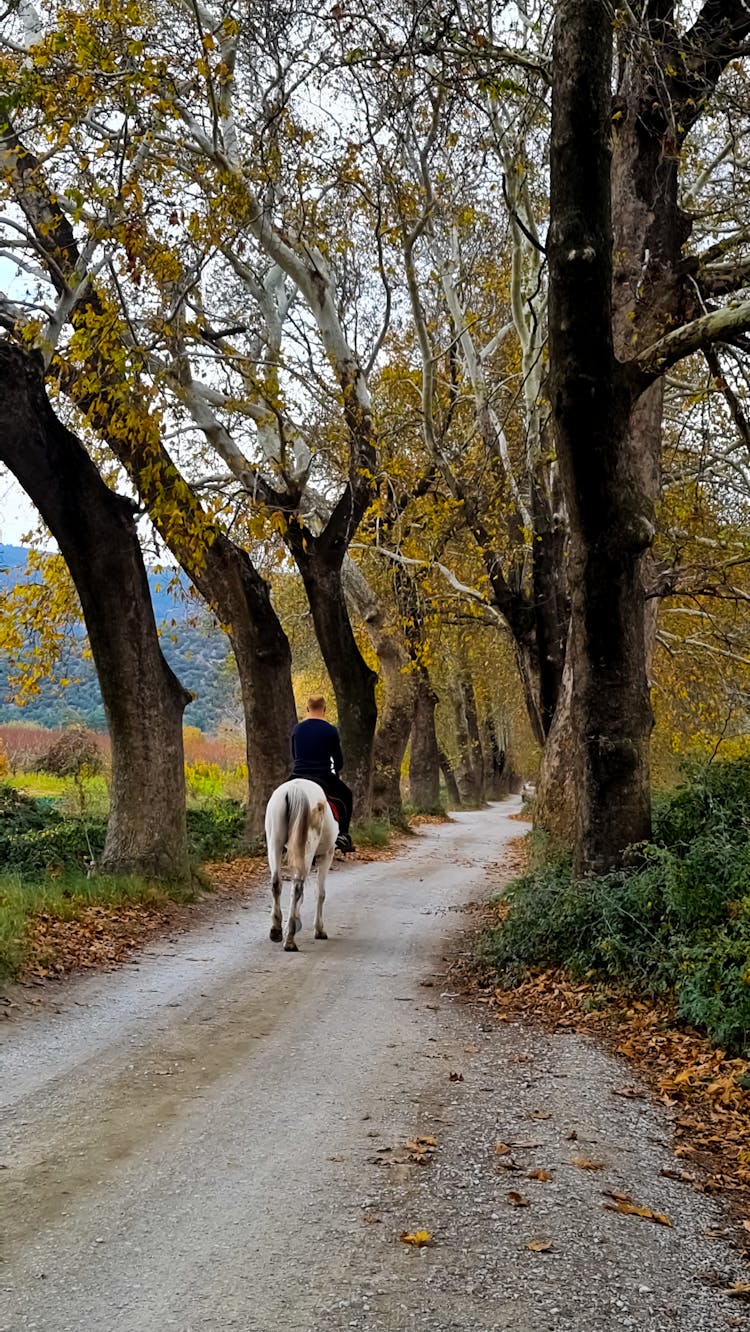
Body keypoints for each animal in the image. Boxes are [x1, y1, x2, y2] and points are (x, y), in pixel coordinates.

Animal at [262, 777, 335, 953]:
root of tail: (295, 790)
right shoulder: (326, 855)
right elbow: (320, 893)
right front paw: (319, 930)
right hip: (307, 848)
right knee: (297, 887)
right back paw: (290, 940)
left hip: (274, 843)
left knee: (277, 883)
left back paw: (276, 930)